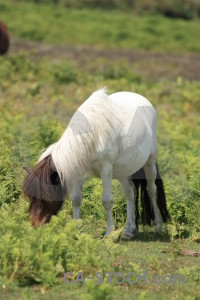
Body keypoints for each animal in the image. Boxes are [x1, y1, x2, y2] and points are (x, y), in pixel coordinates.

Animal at [23, 88, 170, 239]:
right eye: (30, 197)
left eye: (45, 197)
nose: (34, 225)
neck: (91, 136)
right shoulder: (78, 171)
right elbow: (76, 200)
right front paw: (75, 229)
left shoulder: (106, 169)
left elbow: (107, 201)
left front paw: (109, 232)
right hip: (123, 170)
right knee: (129, 192)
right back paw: (129, 230)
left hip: (150, 161)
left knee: (151, 190)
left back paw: (159, 226)